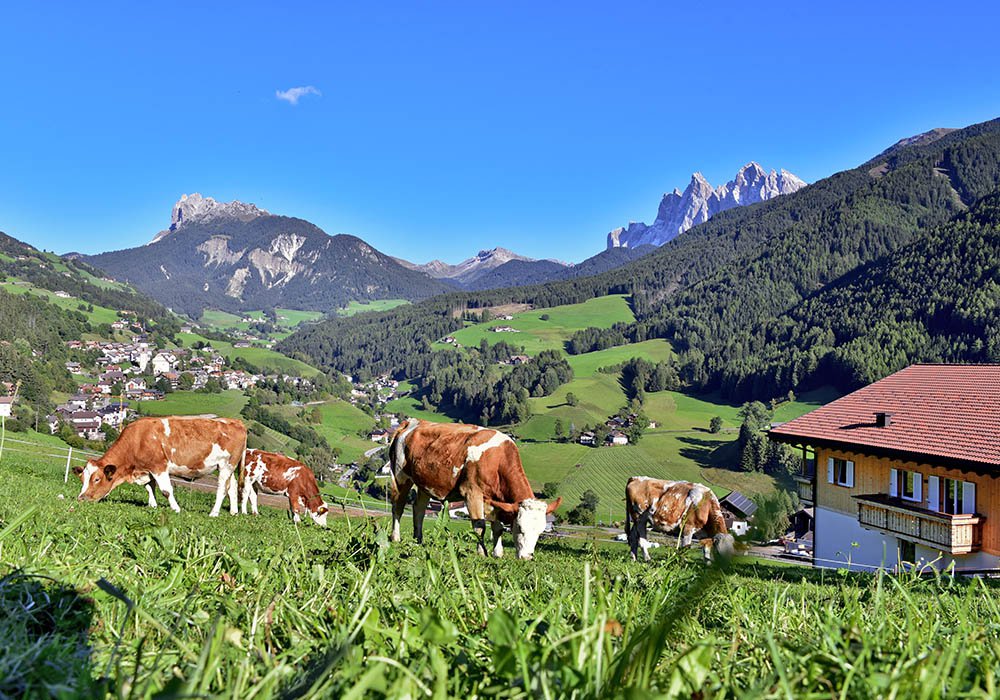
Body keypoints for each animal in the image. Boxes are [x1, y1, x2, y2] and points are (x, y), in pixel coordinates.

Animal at [74, 412, 246, 516]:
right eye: (82, 479)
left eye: (96, 479)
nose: (81, 498)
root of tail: (235, 421)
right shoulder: (147, 469)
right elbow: (149, 487)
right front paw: (152, 505)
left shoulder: (159, 467)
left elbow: (166, 490)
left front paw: (176, 509)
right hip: (230, 468)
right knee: (232, 487)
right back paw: (233, 512)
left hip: (226, 466)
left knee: (222, 489)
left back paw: (214, 513)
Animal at [390, 418, 564, 560]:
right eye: (520, 527)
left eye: (540, 531)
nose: (527, 557)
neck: (497, 460)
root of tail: (412, 422)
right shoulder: (472, 493)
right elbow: (480, 526)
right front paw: (482, 552)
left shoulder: (497, 500)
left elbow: (498, 528)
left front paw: (497, 553)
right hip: (401, 476)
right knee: (398, 507)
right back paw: (395, 537)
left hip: (424, 484)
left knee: (418, 509)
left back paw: (418, 539)